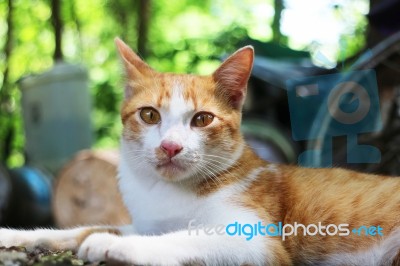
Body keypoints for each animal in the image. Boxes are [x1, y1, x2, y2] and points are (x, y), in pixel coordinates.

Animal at [0, 38, 400, 266]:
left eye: (202, 119)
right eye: (149, 115)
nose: (170, 146)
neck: (164, 192)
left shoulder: (257, 243)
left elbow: (182, 236)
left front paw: (114, 245)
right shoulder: (143, 220)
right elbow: (81, 227)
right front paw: (14, 235)